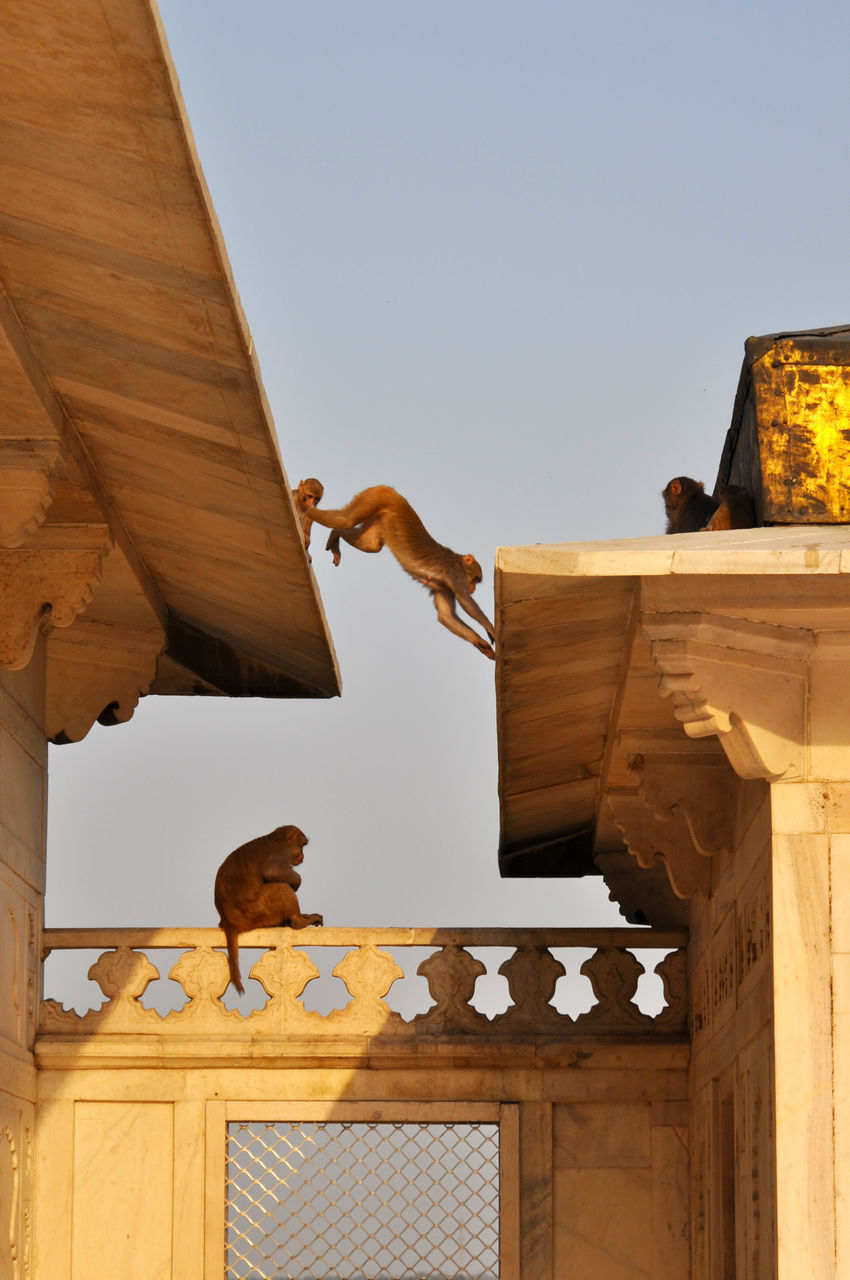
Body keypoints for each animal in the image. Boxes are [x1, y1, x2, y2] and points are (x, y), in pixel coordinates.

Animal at [213, 824, 323, 993]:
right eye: (302, 846)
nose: (303, 856)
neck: (276, 839)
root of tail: (227, 922)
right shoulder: (280, 854)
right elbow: (272, 871)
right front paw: (297, 881)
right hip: (257, 912)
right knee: (281, 888)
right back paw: (298, 921)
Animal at [308, 481, 494, 655]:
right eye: (475, 579)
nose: (473, 588)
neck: (458, 561)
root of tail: (390, 490)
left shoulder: (444, 587)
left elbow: (446, 616)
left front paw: (481, 643)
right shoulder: (455, 573)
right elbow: (465, 600)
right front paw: (490, 629)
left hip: (380, 513)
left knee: (370, 544)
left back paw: (335, 533)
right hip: (376, 498)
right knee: (346, 520)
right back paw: (309, 511)